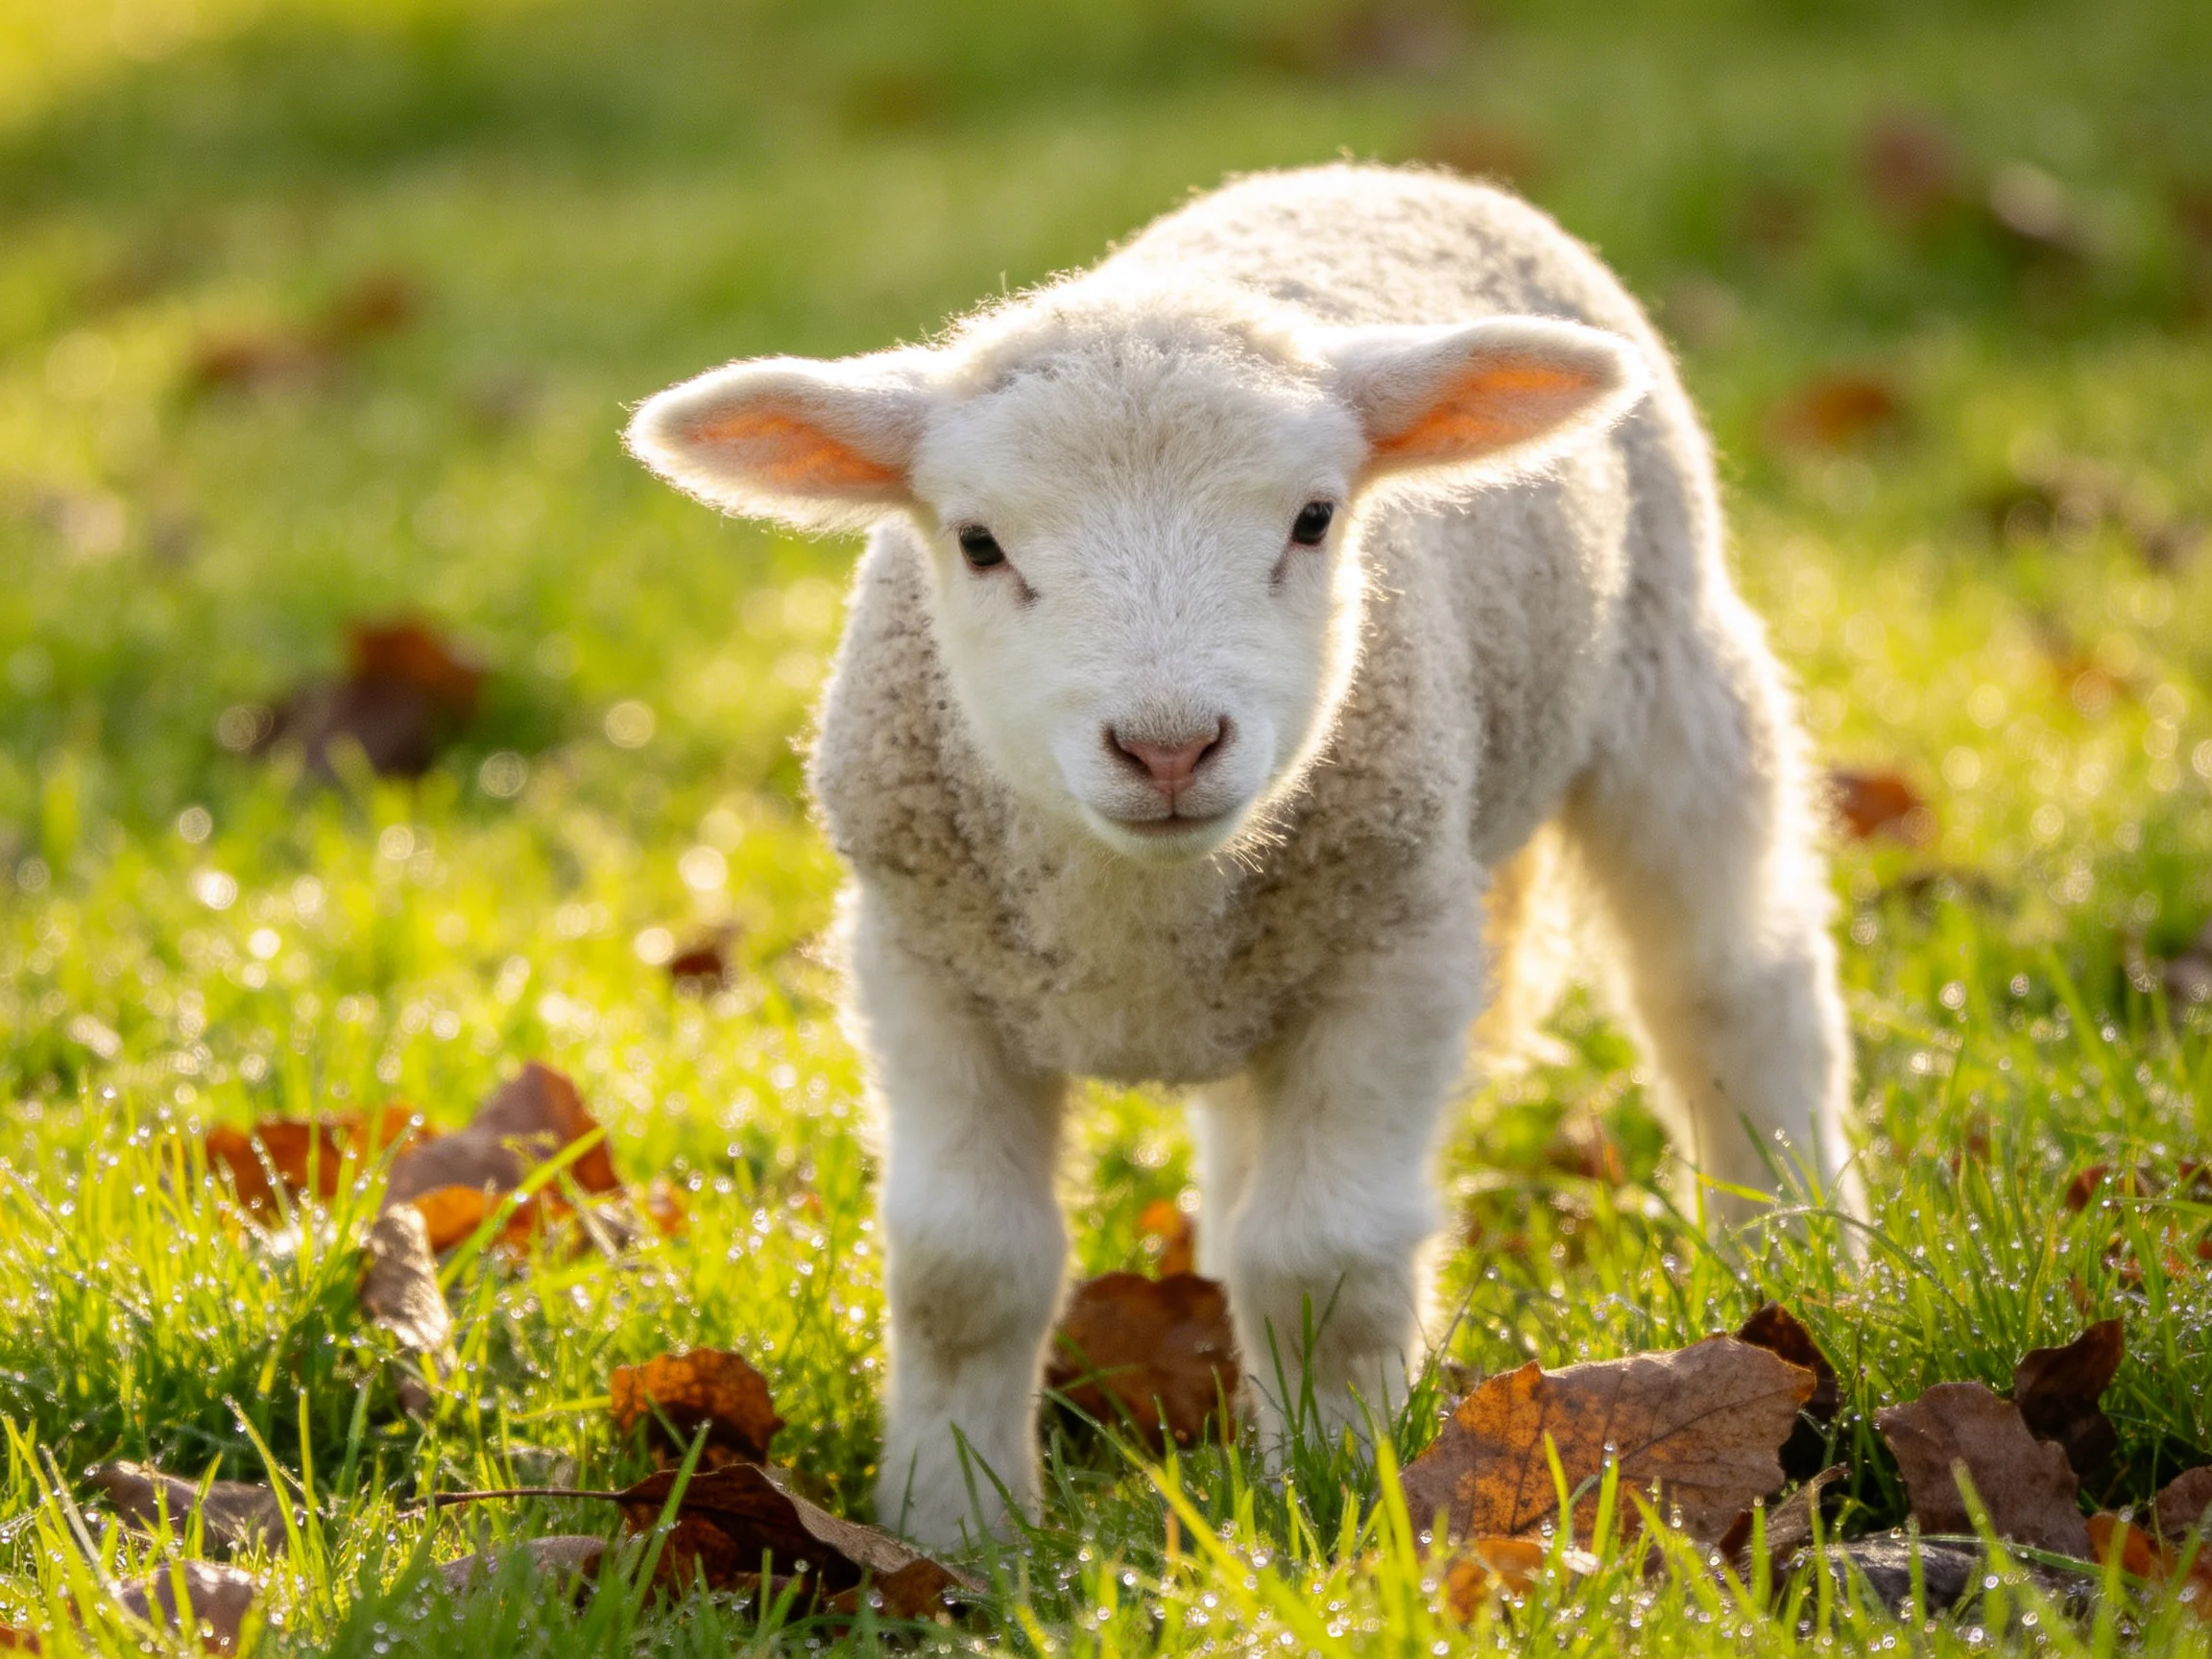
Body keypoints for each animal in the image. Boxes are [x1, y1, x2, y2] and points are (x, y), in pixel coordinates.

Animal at [626, 163, 1854, 1548]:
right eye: (980, 543)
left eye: (1314, 520)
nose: (1169, 746)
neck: (1136, 916)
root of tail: (1368, 169)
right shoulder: (923, 965)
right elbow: (964, 1269)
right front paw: (955, 1527)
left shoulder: (1397, 950)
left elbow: (1326, 1260)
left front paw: (1341, 1493)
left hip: (1671, 664)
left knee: (1729, 985)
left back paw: (1795, 1260)